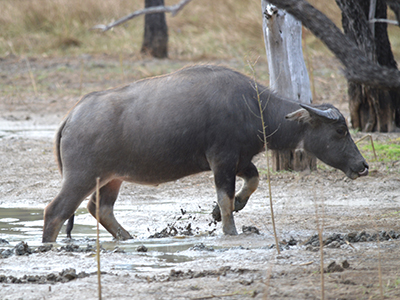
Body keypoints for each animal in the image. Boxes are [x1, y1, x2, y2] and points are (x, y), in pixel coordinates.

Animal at [42, 64, 368, 243]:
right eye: (341, 130)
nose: (363, 165)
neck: (252, 107)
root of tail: (72, 116)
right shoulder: (221, 160)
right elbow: (225, 197)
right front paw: (229, 228)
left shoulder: (240, 160)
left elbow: (252, 182)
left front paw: (226, 210)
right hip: (82, 176)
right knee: (55, 211)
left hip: (112, 178)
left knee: (100, 209)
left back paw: (128, 238)